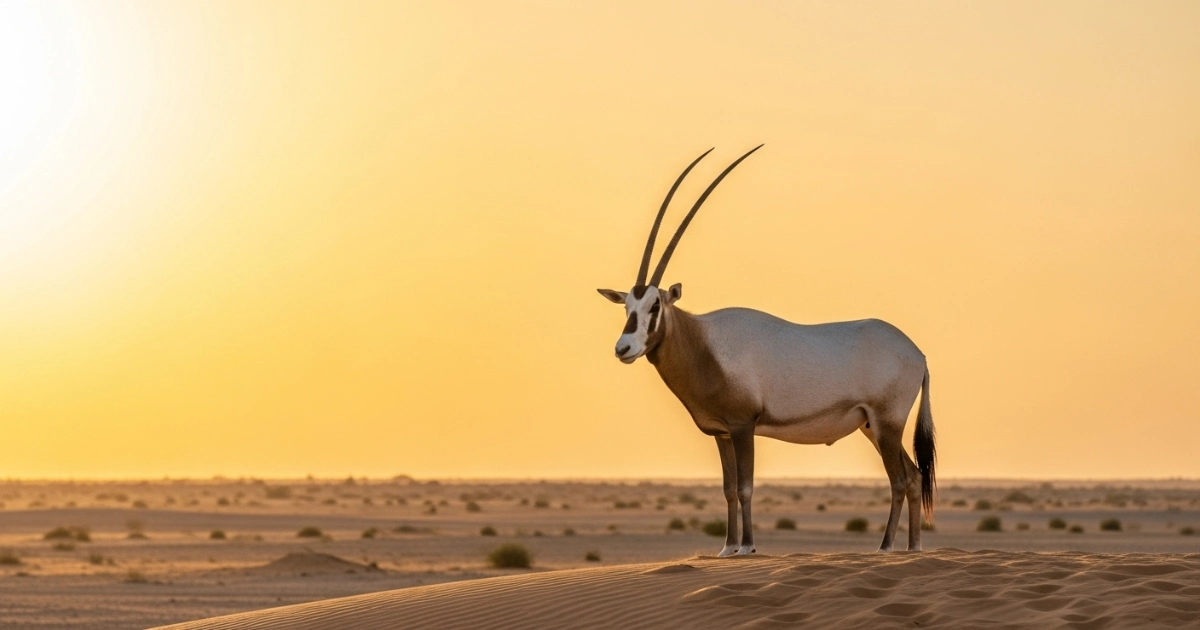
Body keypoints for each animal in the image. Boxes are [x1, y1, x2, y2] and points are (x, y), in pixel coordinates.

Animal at [597, 146, 936, 555]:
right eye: (627, 306)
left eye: (655, 306)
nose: (624, 347)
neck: (705, 343)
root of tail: (918, 354)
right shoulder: (722, 432)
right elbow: (728, 489)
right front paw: (726, 548)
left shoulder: (743, 426)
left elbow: (745, 487)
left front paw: (747, 547)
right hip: (874, 426)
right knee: (914, 476)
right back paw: (913, 548)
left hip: (887, 423)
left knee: (899, 479)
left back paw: (886, 547)